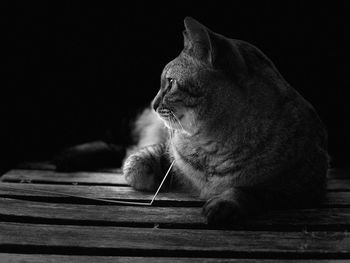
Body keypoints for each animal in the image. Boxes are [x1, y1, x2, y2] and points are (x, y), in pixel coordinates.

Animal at [123, 16, 328, 226]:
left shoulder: (303, 187)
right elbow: (141, 160)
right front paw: (144, 169)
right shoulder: (169, 148)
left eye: (170, 82)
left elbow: (249, 190)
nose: (153, 105)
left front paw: (226, 202)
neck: (211, 146)